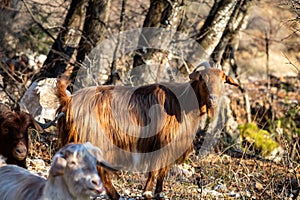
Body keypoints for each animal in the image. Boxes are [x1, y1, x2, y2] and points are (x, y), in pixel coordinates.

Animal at [55, 65, 239, 198]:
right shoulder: (161, 142)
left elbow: (163, 170)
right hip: (97, 140)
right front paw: (148, 192)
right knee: (100, 171)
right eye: (202, 80)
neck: (184, 103)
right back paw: (115, 195)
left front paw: (159, 192)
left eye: (222, 81)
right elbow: (156, 168)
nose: (213, 100)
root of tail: (69, 100)